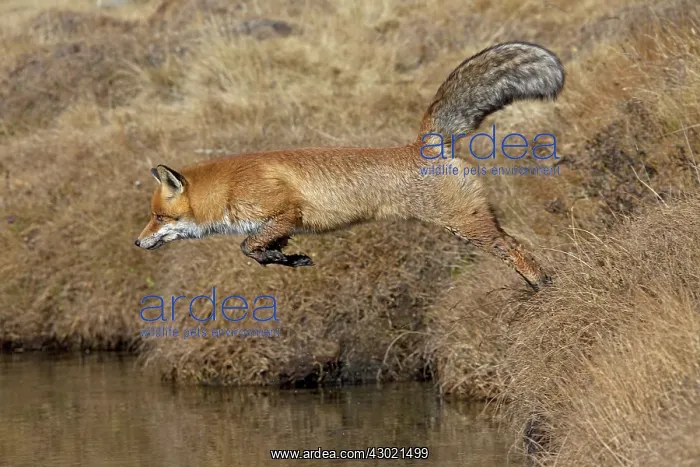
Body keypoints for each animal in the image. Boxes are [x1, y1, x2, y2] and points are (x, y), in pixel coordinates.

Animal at [135, 41, 565, 290]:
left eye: (158, 217)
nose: (137, 243)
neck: (229, 187)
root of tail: (423, 144)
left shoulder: (284, 212)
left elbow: (247, 246)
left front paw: (283, 259)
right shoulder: (281, 227)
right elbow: (260, 250)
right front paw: (287, 260)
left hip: (465, 224)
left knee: (512, 248)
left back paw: (542, 284)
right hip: (477, 218)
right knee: (517, 240)